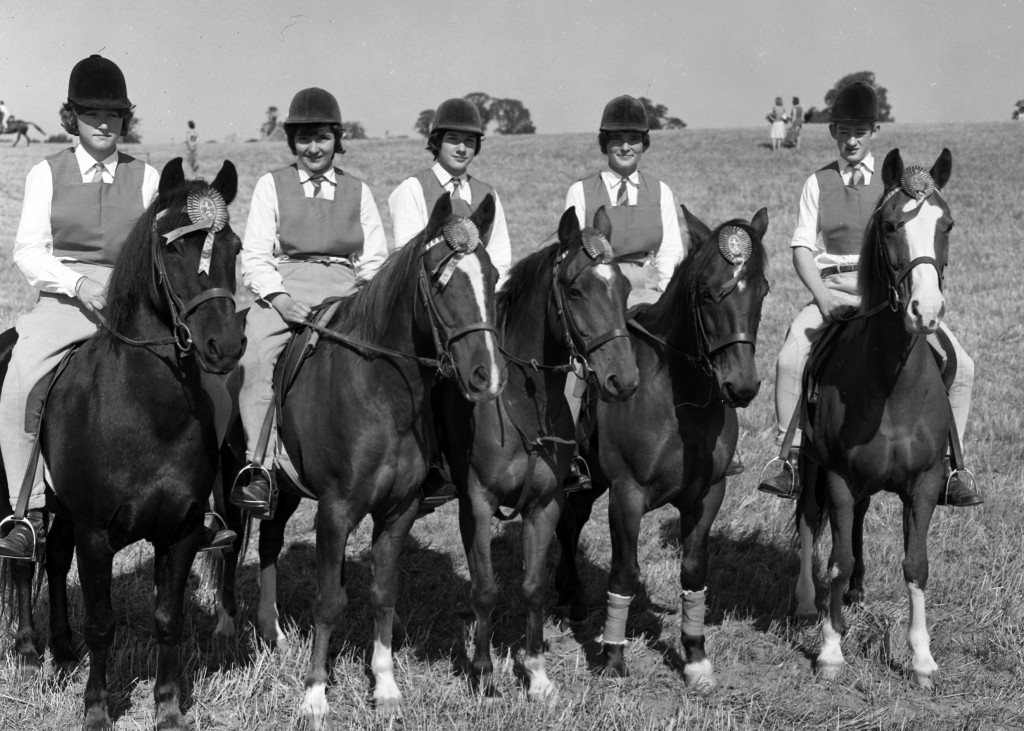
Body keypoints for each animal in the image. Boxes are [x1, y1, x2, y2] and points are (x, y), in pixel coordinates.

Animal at [0, 158, 245, 731]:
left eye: (235, 247)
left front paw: (169, 707)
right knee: (24, 559)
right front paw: (95, 710)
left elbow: (167, 619)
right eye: (173, 249)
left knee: (54, 556)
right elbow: (103, 624)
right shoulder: (96, 533)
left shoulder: (180, 533)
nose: (224, 345)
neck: (147, 413)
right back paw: (28, 650)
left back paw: (62, 650)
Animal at [218, 194, 505, 728]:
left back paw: (273, 633)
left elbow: (383, 593)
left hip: (285, 492)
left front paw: (386, 687)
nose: (487, 376)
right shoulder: (336, 511)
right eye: (439, 279)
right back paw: (228, 627)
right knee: (229, 547)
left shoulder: (398, 512)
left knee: (268, 544)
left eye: (493, 276)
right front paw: (314, 694)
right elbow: (329, 601)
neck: (380, 394)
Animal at [438, 206, 639, 698]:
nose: (623, 380)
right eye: (575, 289)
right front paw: (484, 673)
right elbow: (485, 588)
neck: (521, 405)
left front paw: (536, 673)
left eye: (624, 288)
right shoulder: (477, 504)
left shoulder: (544, 505)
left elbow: (532, 587)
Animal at [555, 206, 770, 688]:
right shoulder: (627, 494)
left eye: (762, 290)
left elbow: (693, 570)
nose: (743, 386)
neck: (679, 400)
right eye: (708, 293)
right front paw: (614, 657)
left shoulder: (708, 494)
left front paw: (695, 656)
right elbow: (624, 572)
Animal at [794, 149, 956, 688]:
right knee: (810, 522)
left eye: (946, 224)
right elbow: (837, 561)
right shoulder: (840, 478)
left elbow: (916, 565)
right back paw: (808, 603)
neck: (892, 385)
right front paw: (830, 650)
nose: (926, 310)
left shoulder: (925, 483)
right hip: (815, 473)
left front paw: (922, 659)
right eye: (889, 225)